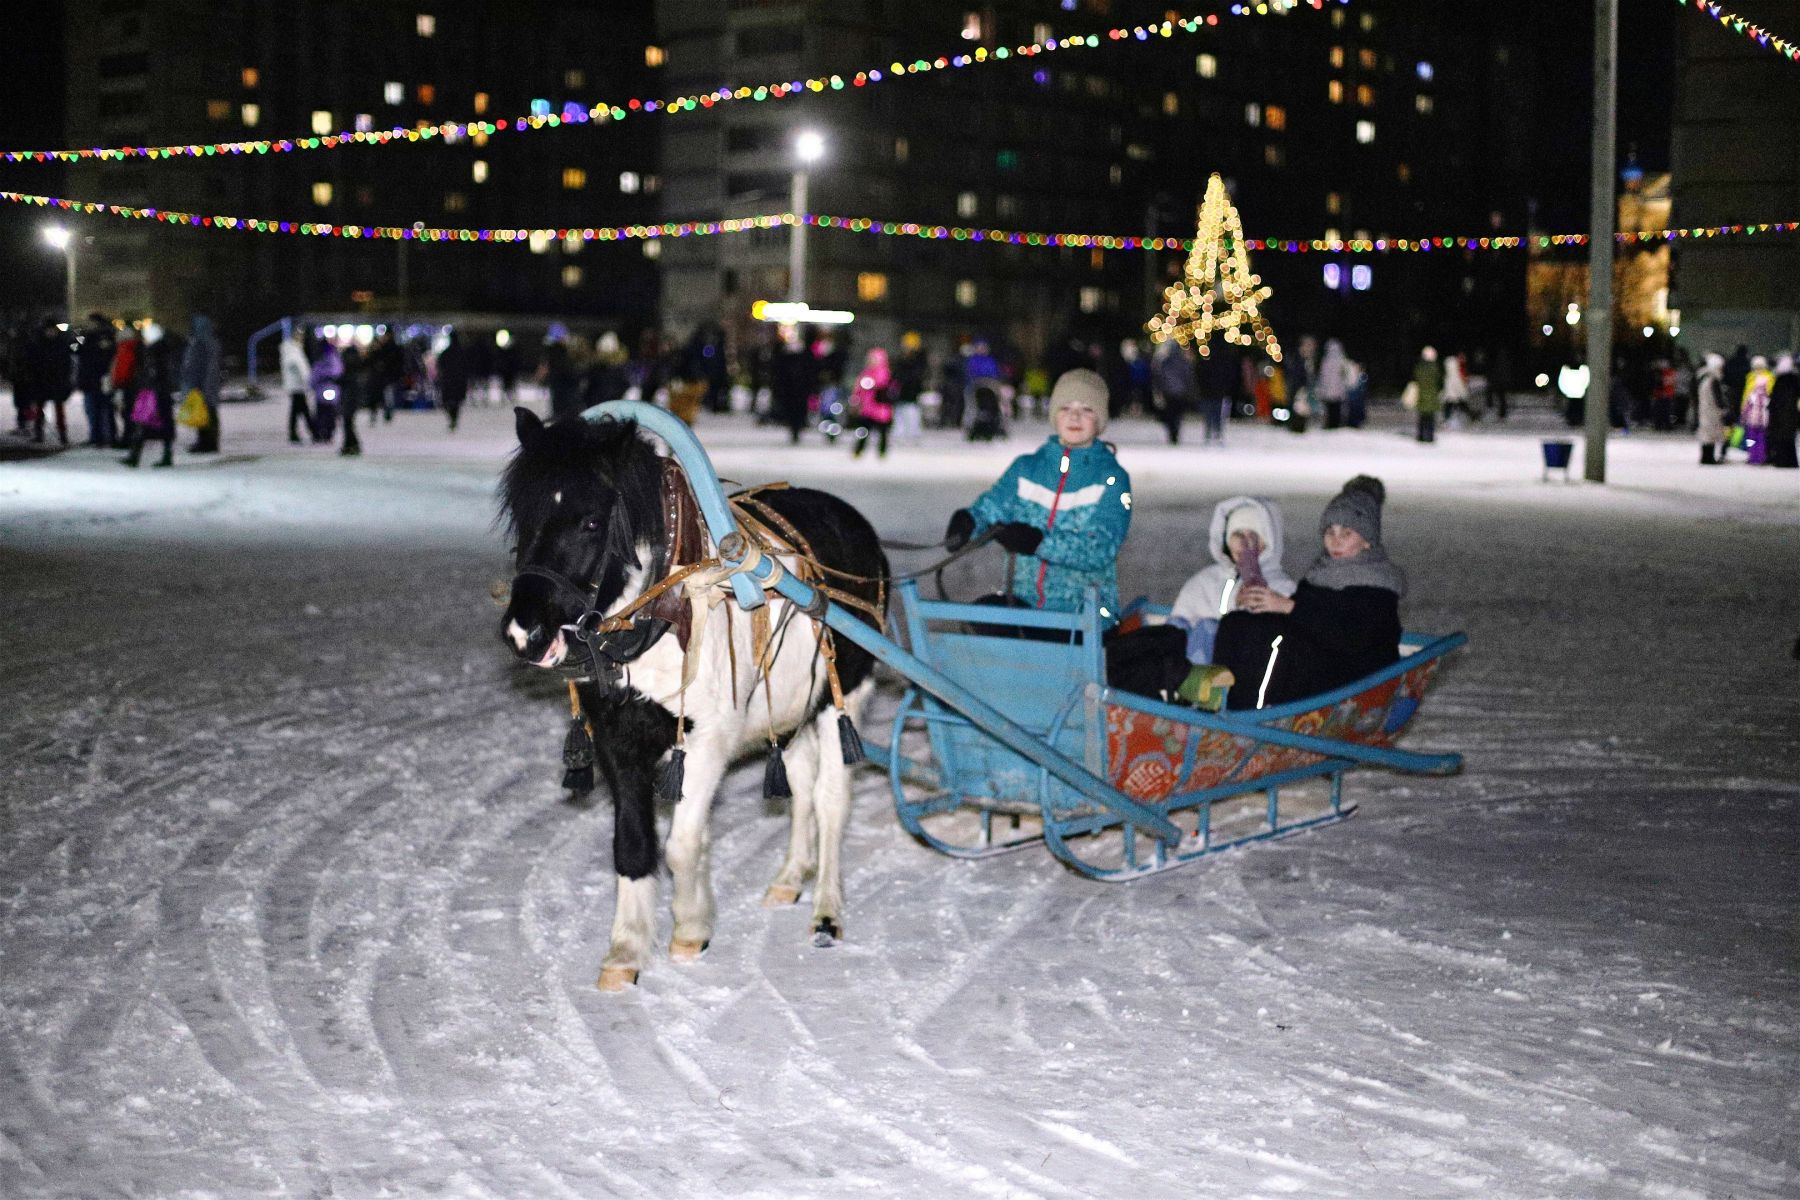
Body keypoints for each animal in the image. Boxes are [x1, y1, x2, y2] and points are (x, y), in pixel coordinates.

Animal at [496, 408, 889, 993]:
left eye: (591, 523)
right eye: (524, 516)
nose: (524, 634)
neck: (662, 619)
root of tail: (853, 521)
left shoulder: (705, 743)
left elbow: (680, 845)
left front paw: (691, 926)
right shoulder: (618, 742)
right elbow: (634, 846)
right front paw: (626, 949)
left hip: (843, 700)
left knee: (832, 800)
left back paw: (826, 909)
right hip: (789, 710)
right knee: (801, 787)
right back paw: (791, 876)